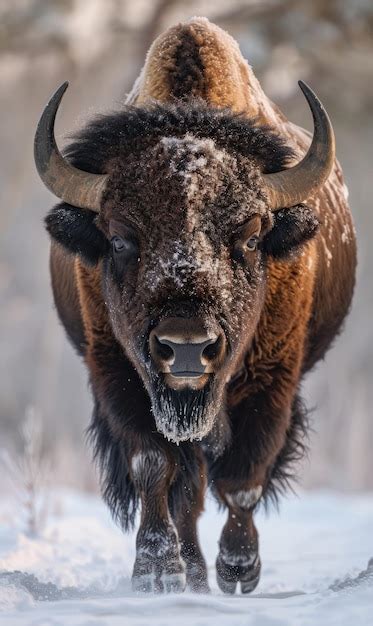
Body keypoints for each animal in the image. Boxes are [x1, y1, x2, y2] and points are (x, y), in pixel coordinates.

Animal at [34, 18, 354, 596]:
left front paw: (239, 569)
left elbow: (244, 478)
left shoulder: (273, 381)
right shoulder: (119, 373)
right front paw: (157, 571)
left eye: (251, 237)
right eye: (120, 239)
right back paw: (193, 574)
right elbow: (154, 466)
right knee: (187, 484)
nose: (186, 348)